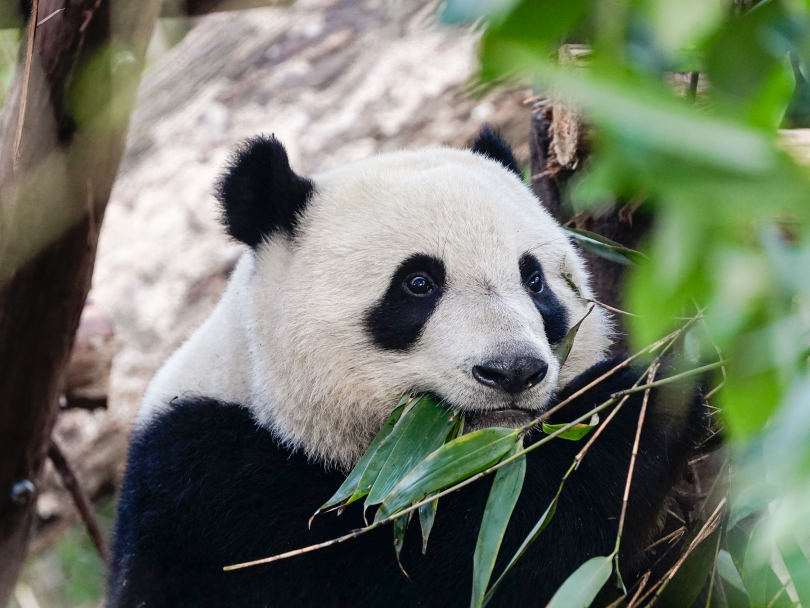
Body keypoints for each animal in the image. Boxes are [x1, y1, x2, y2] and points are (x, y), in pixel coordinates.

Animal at [107, 127, 704, 608]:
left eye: (534, 280)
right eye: (418, 283)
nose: (512, 370)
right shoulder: (214, 494)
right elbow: (459, 567)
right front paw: (643, 392)